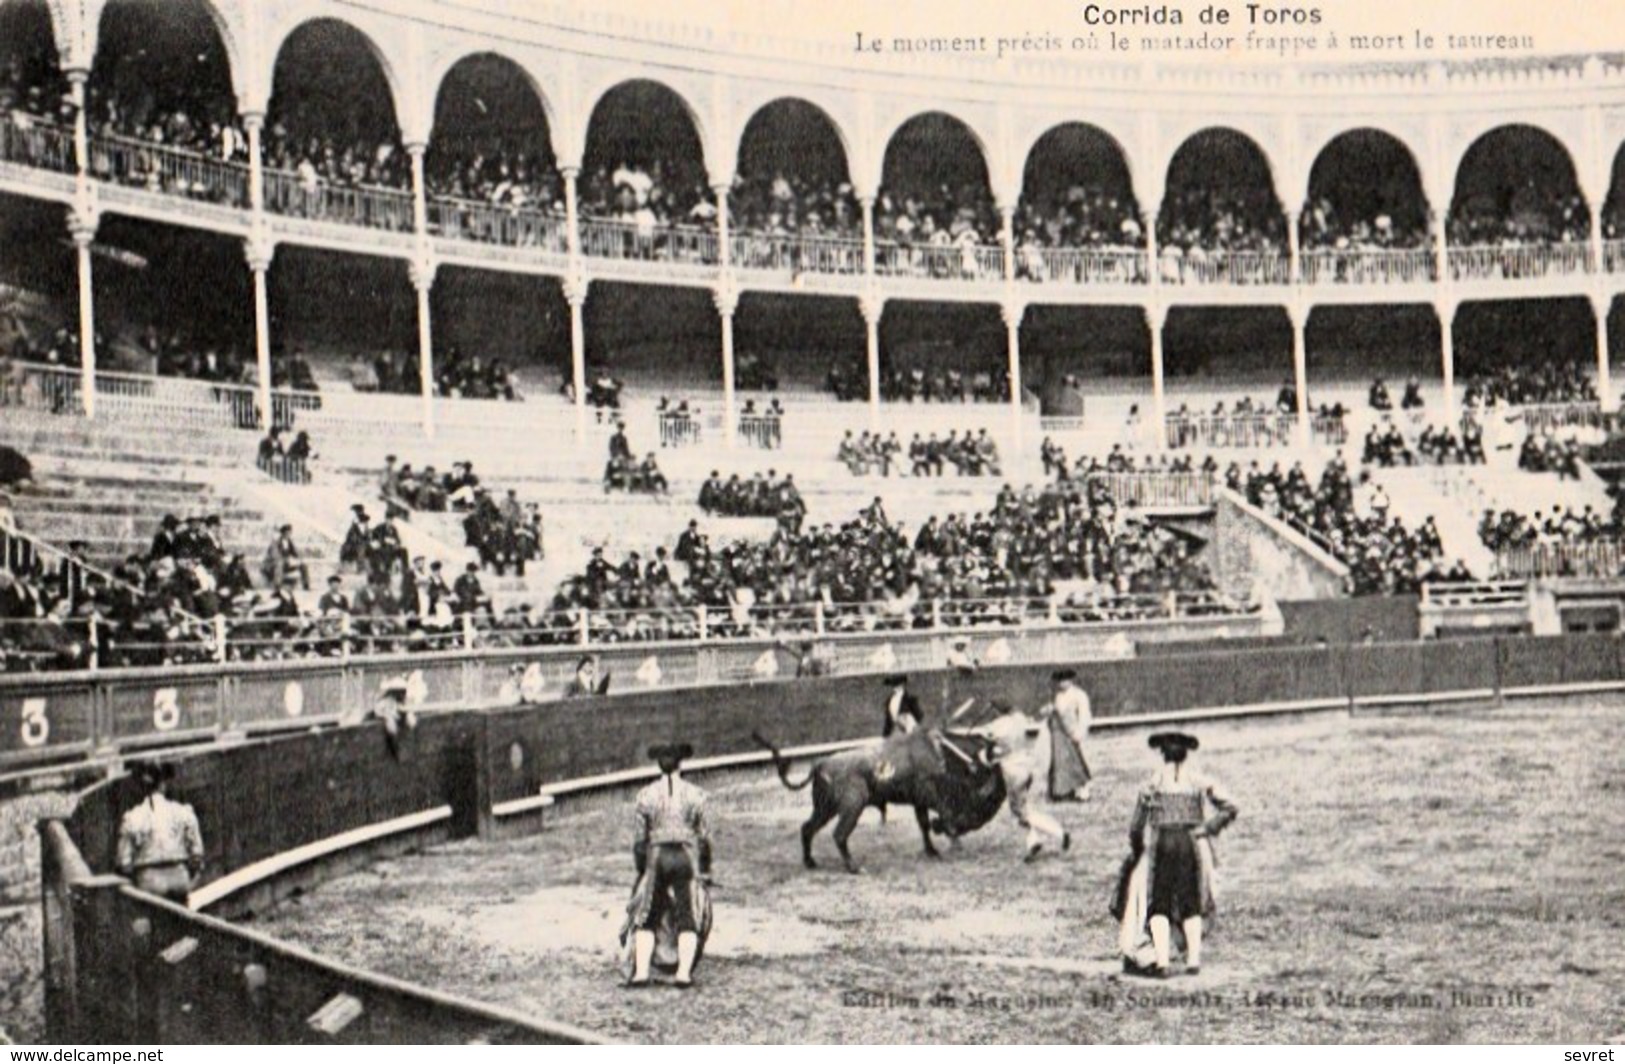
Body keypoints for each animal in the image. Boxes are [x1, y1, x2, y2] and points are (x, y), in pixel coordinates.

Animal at [754, 727, 1007, 877]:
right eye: (984, 798)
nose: (981, 821)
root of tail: (820, 764)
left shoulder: (919, 801)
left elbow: (924, 824)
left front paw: (932, 850)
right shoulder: (930, 794)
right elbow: (944, 814)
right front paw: (954, 842)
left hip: (825, 808)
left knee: (807, 828)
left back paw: (810, 862)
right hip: (852, 807)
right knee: (839, 834)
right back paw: (854, 867)